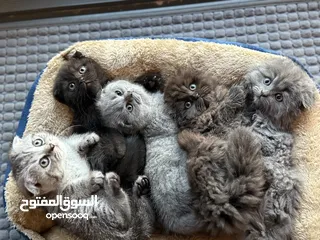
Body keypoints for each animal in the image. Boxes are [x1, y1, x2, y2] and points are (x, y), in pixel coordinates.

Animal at [9, 132, 154, 240]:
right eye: (44, 162)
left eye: (37, 142)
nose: (51, 146)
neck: (65, 162)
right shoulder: (57, 200)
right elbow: (71, 188)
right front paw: (91, 180)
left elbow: (77, 145)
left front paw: (88, 139)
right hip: (95, 213)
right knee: (123, 217)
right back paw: (114, 187)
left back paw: (140, 188)